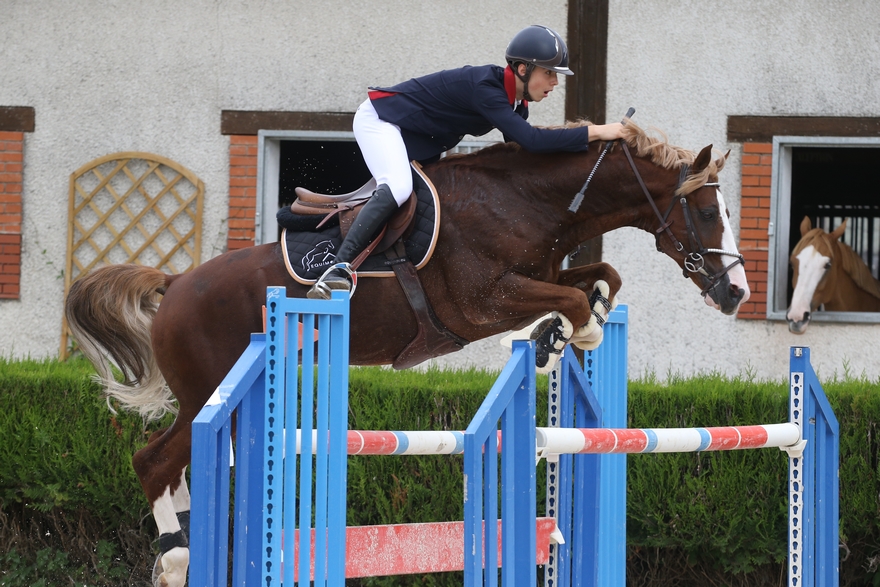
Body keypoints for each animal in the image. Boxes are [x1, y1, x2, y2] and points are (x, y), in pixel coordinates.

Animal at [65, 120, 748, 587]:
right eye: (705, 211)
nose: (737, 292)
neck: (533, 201)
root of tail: (175, 282)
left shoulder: (538, 277)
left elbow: (600, 281)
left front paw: (555, 339)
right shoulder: (482, 301)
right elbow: (576, 303)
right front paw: (560, 338)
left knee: (175, 469)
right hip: (206, 391)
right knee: (154, 461)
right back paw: (177, 557)